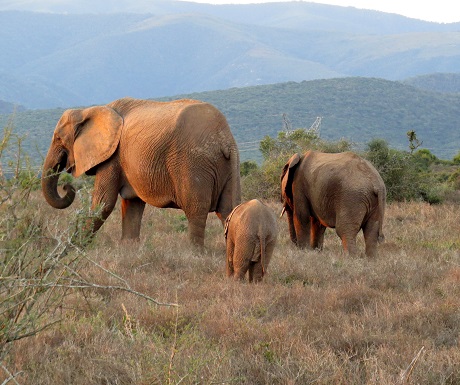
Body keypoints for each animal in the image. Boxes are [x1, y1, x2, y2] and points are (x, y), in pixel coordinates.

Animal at [41, 97, 241, 246]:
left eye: (58, 138)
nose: (67, 187)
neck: (88, 110)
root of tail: (225, 139)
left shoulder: (113, 156)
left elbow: (103, 203)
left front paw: (71, 249)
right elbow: (131, 204)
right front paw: (129, 250)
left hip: (193, 163)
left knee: (195, 210)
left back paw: (194, 254)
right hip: (227, 166)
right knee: (227, 210)